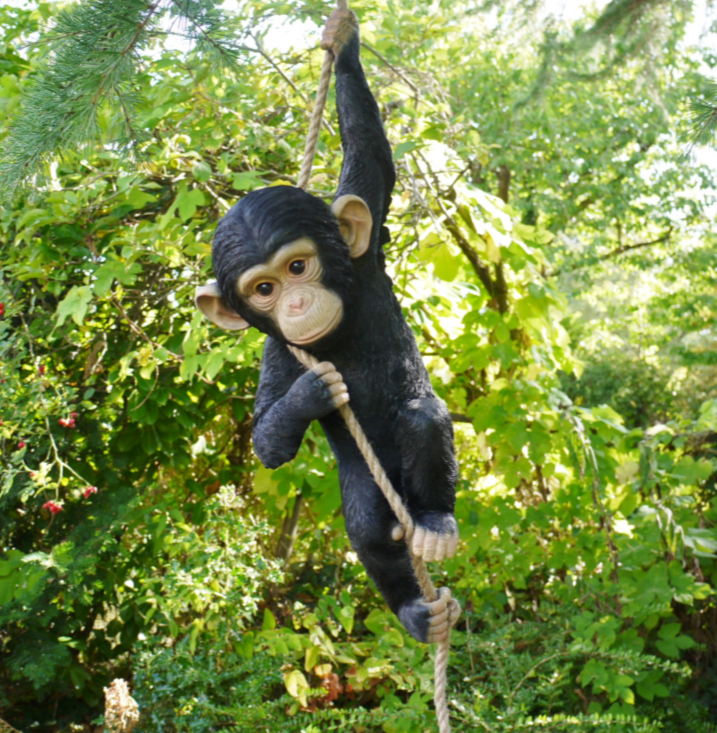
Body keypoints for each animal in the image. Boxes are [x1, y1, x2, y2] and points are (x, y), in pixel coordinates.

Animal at [196, 8, 458, 644]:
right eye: (263, 290)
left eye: (297, 267)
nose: (294, 303)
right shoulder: (277, 353)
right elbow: (266, 438)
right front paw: (311, 394)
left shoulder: (365, 249)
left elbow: (372, 161)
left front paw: (343, 44)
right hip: (366, 483)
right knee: (365, 528)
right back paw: (413, 610)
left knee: (422, 417)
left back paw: (436, 523)